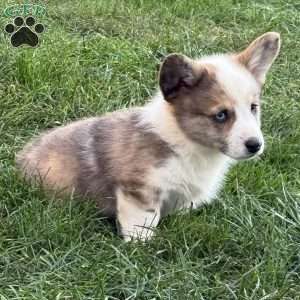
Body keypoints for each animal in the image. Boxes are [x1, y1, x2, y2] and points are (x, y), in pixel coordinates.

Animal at [17, 31, 282, 240]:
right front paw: (141, 248)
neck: (186, 141)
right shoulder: (139, 190)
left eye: (253, 107)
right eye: (221, 115)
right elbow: (143, 224)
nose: (255, 145)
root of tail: (19, 160)